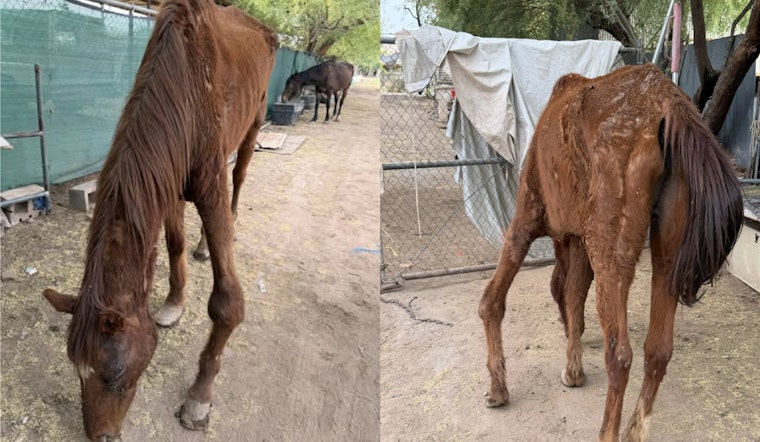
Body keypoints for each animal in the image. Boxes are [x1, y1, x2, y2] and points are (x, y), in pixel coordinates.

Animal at [42, 0, 278, 439]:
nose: (101, 435)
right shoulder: (164, 180)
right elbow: (173, 244)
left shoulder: (209, 185)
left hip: (252, 124)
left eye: (114, 376)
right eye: (76, 371)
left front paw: (199, 398)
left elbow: (227, 304)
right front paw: (172, 304)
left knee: (239, 177)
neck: (184, 89)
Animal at [478, 64, 743, 442]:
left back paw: (608, 431)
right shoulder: (577, 241)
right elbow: (572, 297)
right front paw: (573, 369)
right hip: (665, 256)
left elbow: (493, 301)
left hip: (610, 254)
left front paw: (498, 389)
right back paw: (634, 430)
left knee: (620, 355)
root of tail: (667, 103)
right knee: (657, 350)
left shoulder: (527, 219)